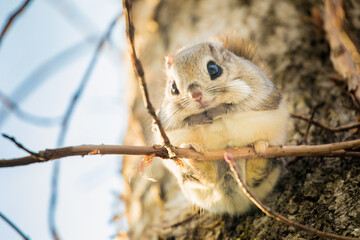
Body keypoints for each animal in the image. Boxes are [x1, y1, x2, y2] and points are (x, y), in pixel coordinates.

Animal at [156, 34, 288, 215]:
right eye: (173, 87)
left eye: (214, 69)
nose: (196, 95)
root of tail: (237, 205)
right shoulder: (167, 121)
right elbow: (181, 122)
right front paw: (198, 119)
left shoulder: (259, 93)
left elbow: (238, 105)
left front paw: (218, 111)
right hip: (187, 180)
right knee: (206, 179)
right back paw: (195, 156)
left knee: (259, 173)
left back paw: (260, 149)